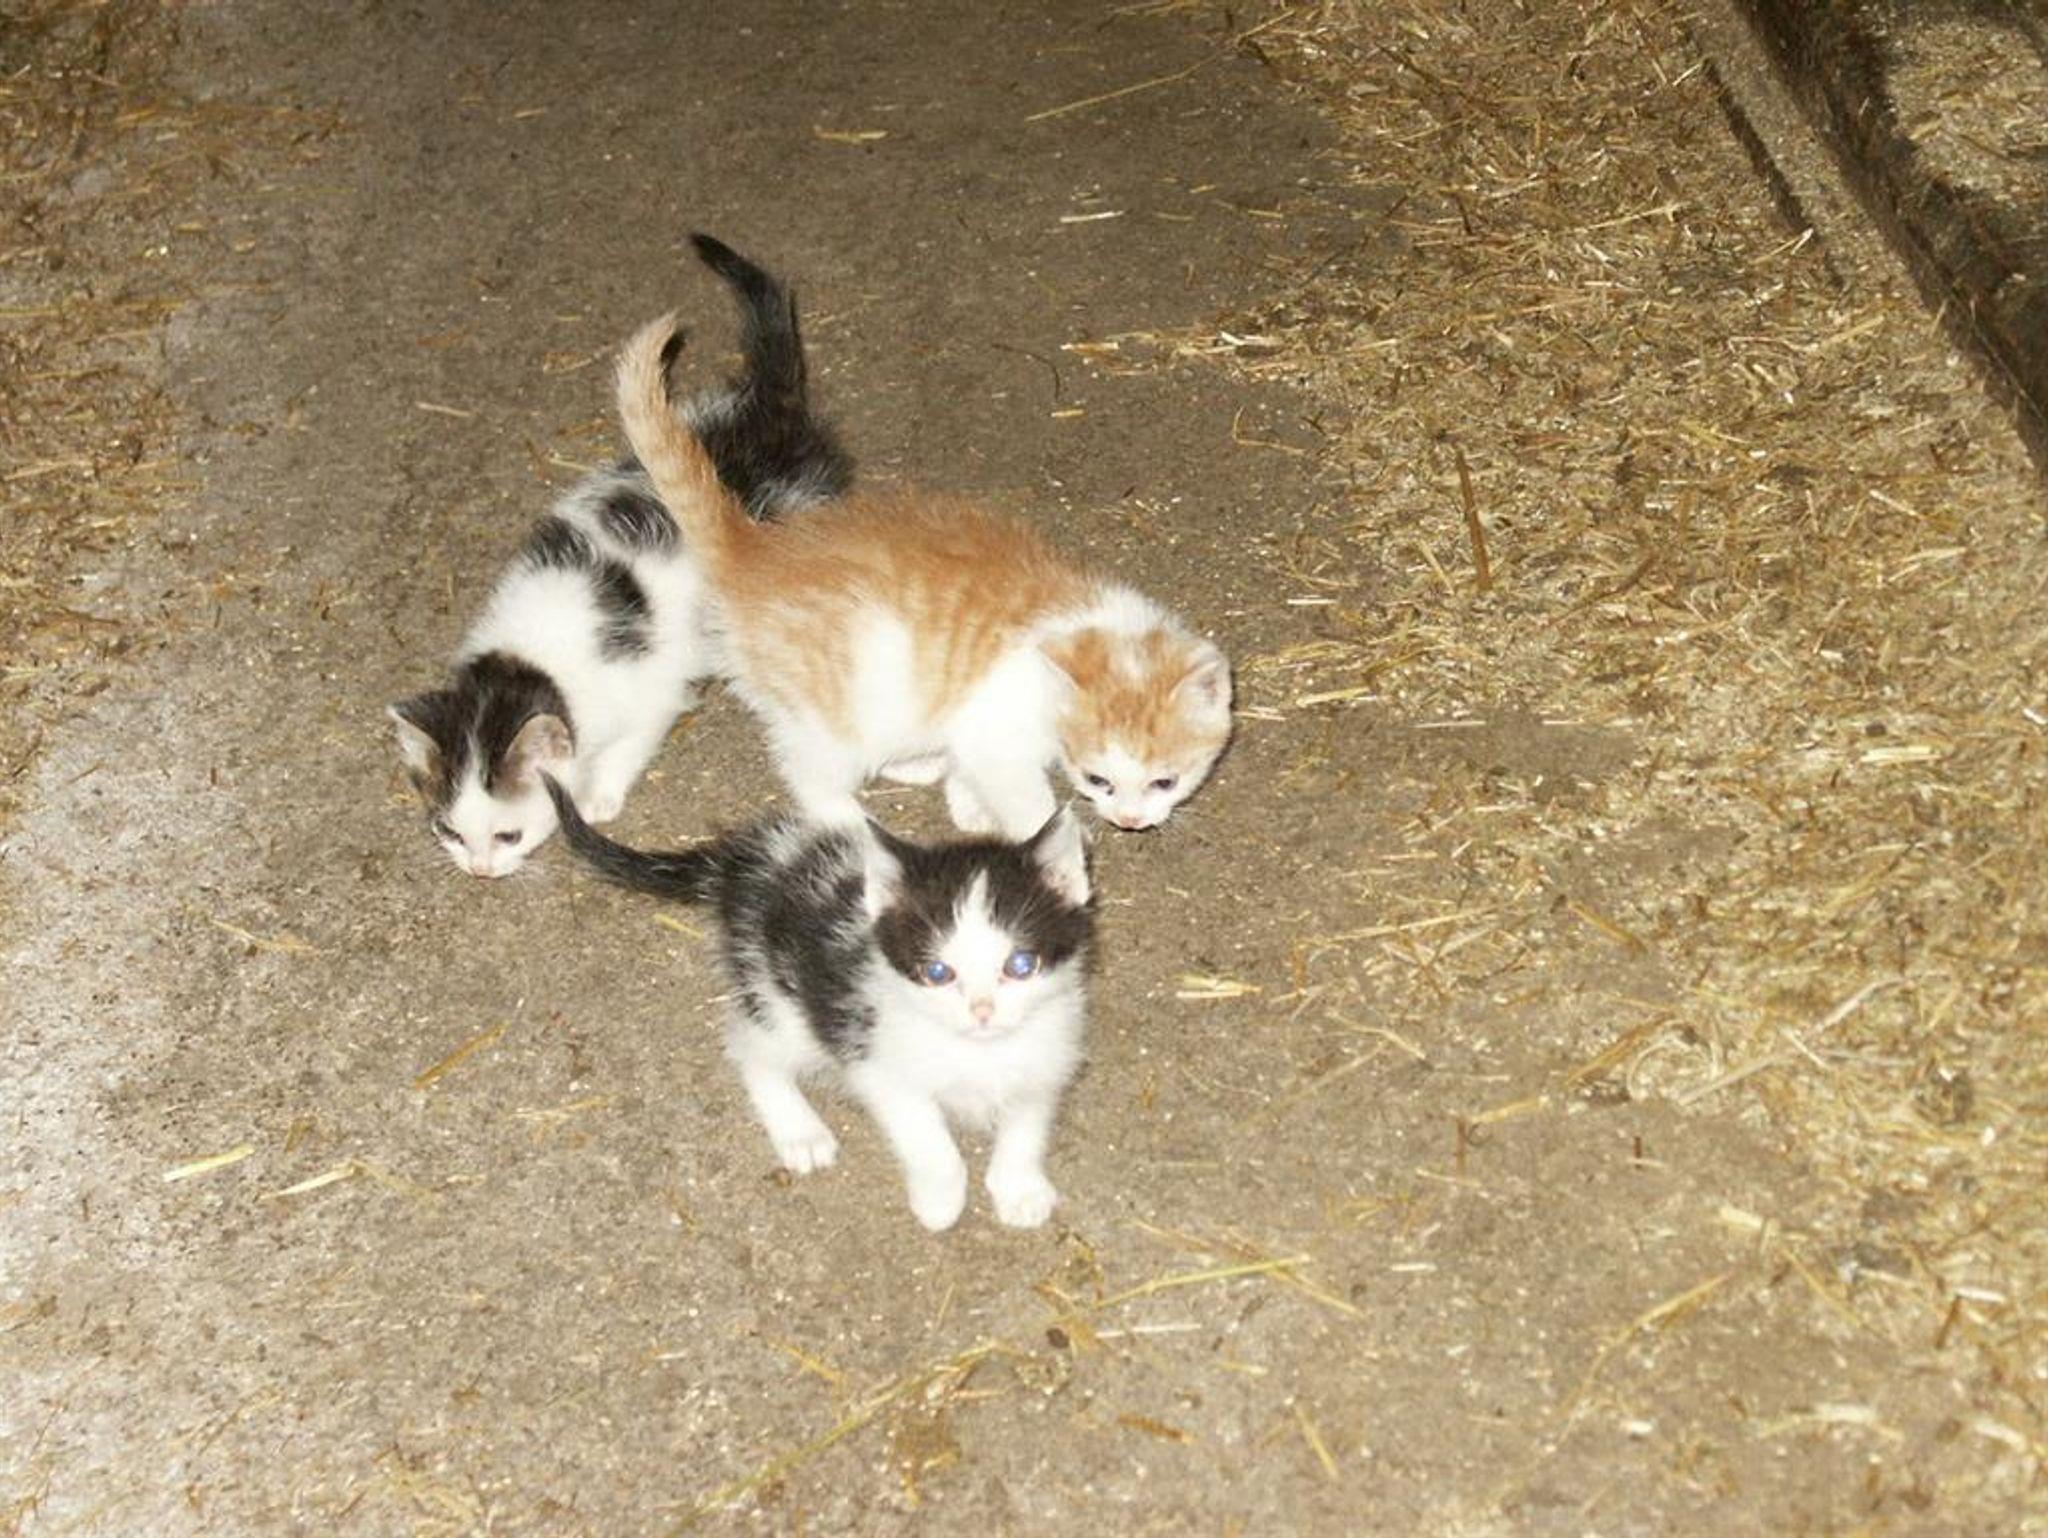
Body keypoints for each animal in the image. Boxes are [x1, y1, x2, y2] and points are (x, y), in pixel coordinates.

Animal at [389, 236, 851, 878]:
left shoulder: (652, 691)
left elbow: (632, 743)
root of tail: (767, 416)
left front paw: (599, 795)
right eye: (449, 831)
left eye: (508, 835)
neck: (536, 657)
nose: (480, 870)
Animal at [545, 776, 1093, 1230]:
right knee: (750, 1048)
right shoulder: (876, 1062)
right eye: (938, 973)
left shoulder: (1047, 1060)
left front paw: (1019, 1188)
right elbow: (928, 1138)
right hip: (782, 1002)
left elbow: (1028, 1122)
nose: (982, 1012)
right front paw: (941, 1199)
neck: (980, 1053)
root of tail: (751, 862)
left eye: (1020, 965)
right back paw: (799, 1131)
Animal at [609, 283, 1234, 843]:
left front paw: (967, 803)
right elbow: (1023, 798)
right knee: (809, 772)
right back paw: (851, 819)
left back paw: (917, 763)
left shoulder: (971, 724)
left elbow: (970, 768)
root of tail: (753, 545)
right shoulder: (996, 732)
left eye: (1165, 781)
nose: (1129, 820)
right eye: (1098, 779)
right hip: (843, 704)